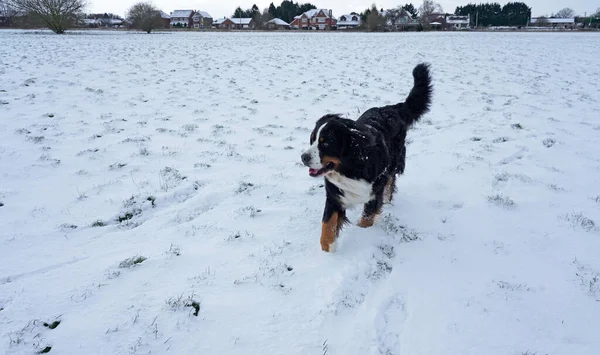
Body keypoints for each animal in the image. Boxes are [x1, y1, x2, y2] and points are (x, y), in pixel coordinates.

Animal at [302, 63, 434, 253]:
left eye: (325, 142)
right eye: (312, 139)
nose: (303, 157)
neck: (350, 168)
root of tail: (392, 108)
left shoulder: (373, 194)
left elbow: (366, 218)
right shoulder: (335, 195)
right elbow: (327, 225)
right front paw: (329, 250)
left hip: (394, 163)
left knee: (390, 181)